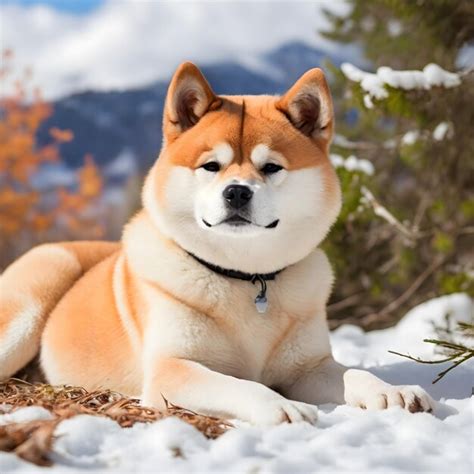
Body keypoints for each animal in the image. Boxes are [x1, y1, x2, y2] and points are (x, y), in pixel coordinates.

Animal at [0, 64, 434, 426]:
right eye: (211, 165)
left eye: (271, 167)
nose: (237, 192)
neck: (246, 277)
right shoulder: (172, 368)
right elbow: (238, 383)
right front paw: (281, 405)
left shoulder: (308, 367)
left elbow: (354, 373)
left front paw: (392, 391)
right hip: (39, 290)